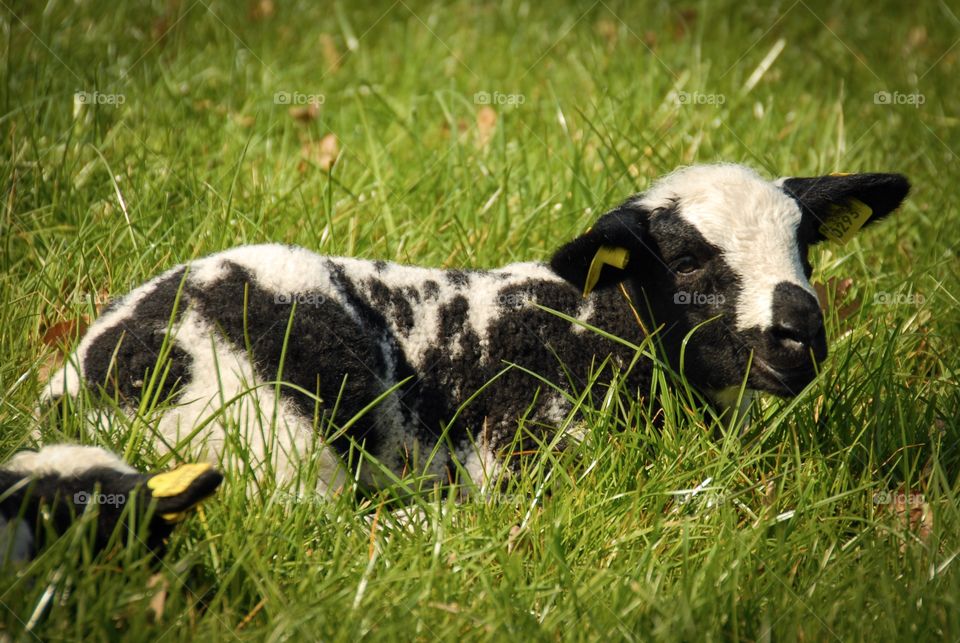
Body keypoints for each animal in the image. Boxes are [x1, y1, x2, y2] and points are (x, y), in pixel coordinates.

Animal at [43, 165, 908, 494]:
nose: (802, 333)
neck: (588, 328)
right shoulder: (519, 448)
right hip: (273, 424)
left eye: (806, 246)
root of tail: (79, 382)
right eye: (689, 259)